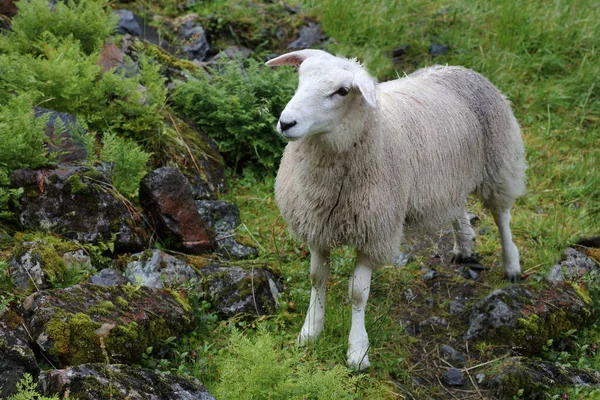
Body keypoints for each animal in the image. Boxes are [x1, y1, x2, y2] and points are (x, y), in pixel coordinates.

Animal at [268, 49, 524, 368]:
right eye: (300, 78)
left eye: (342, 91)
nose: (286, 123)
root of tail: (457, 68)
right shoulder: (317, 224)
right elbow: (317, 279)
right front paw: (310, 332)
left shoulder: (375, 230)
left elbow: (358, 294)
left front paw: (357, 351)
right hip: (450, 178)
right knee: (458, 207)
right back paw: (464, 245)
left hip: (498, 163)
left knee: (502, 216)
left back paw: (511, 264)